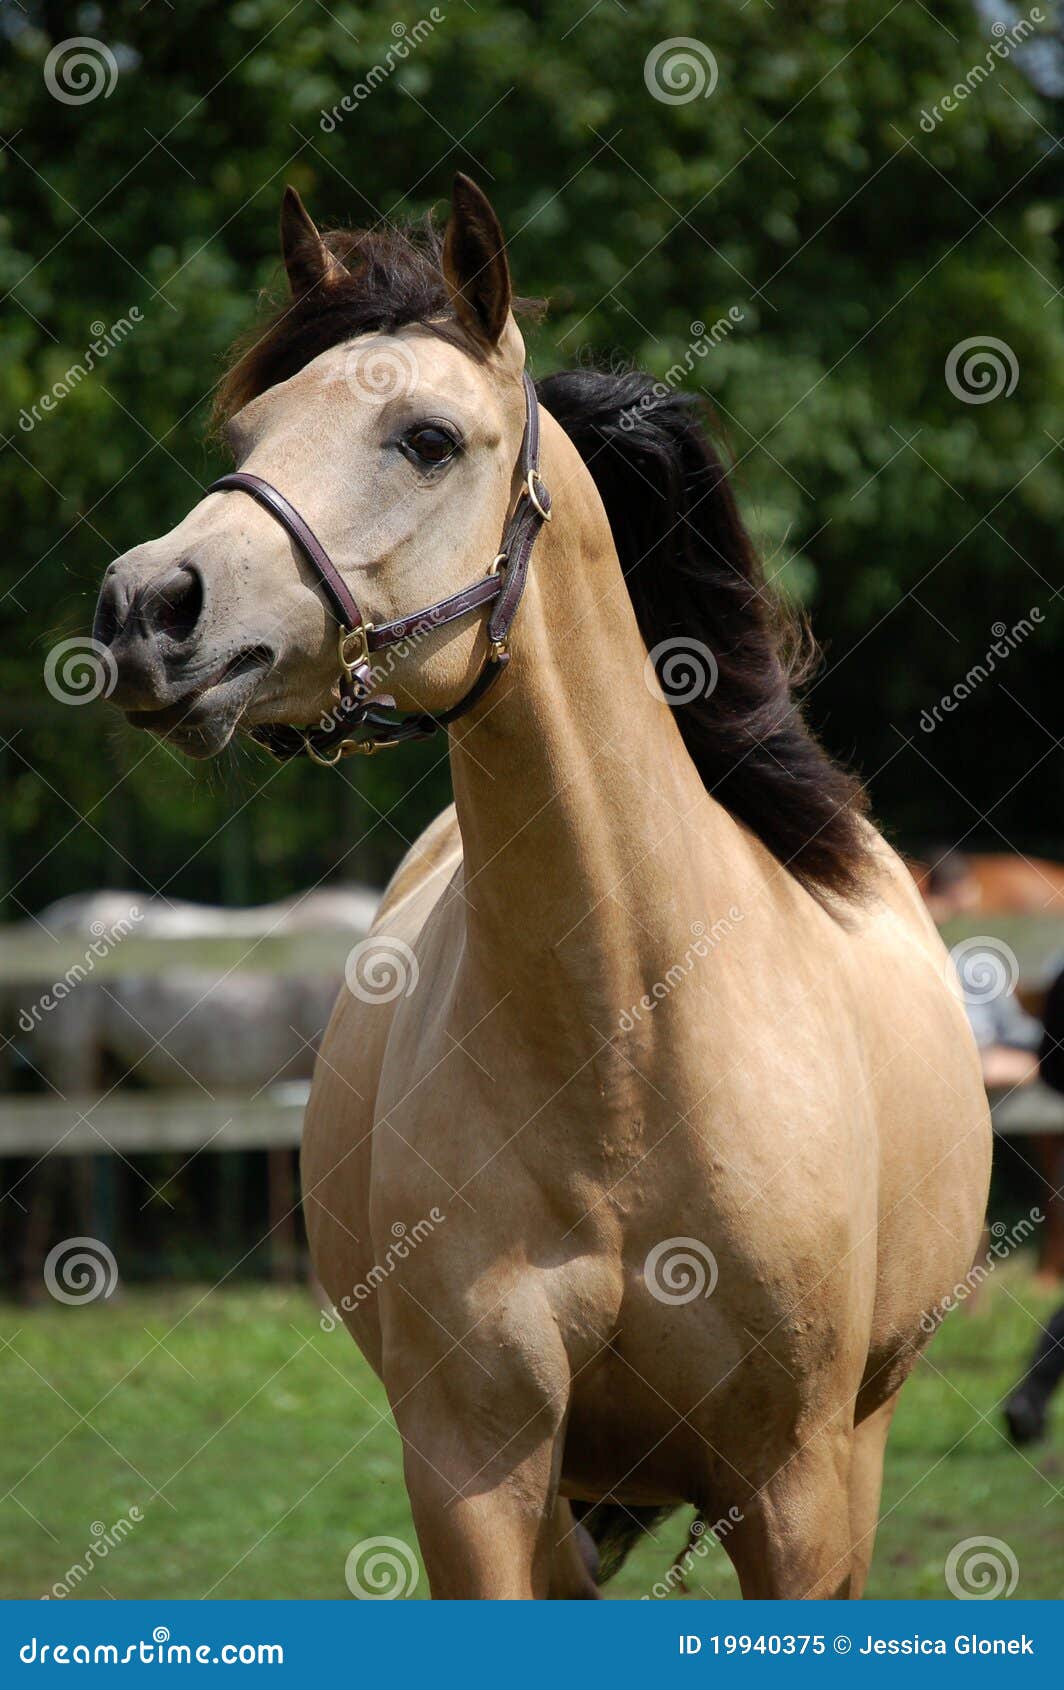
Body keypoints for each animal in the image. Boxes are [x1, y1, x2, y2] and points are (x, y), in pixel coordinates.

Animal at [92, 175, 991, 1599]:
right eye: (247, 427)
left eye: (425, 439)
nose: (145, 606)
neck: (626, 1036)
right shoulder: (477, 1478)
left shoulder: (793, 1495)